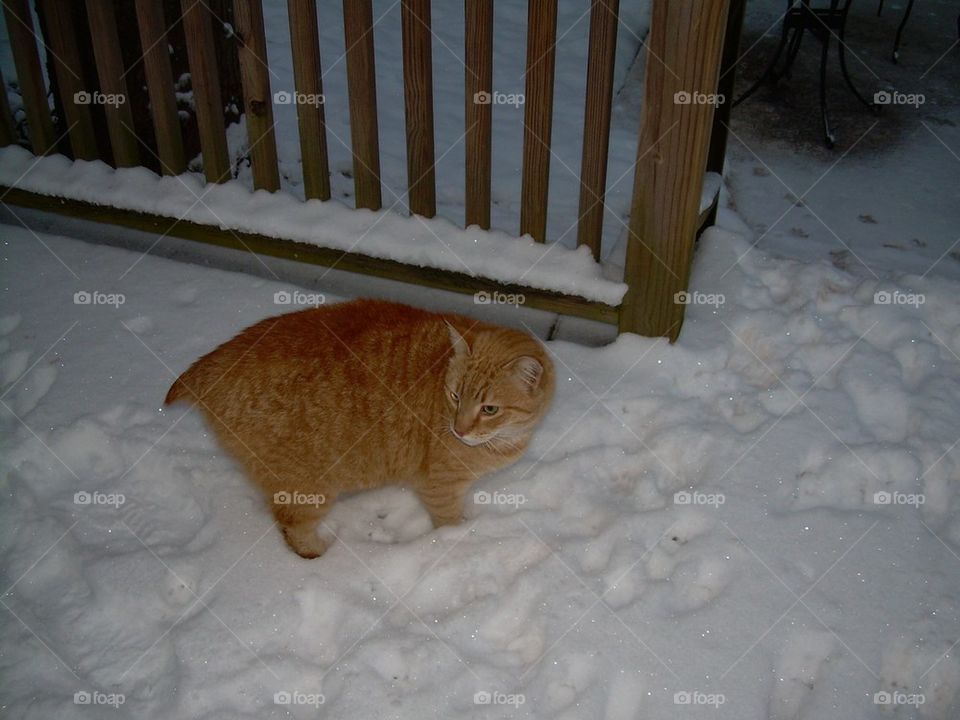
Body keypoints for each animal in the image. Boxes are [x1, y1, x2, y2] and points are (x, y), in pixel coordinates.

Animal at [167, 298, 556, 556]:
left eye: (489, 409)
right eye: (456, 396)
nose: (459, 431)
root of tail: (213, 360)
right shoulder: (440, 487)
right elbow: (450, 523)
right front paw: (460, 541)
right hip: (308, 490)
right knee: (292, 528)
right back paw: (321, 552)